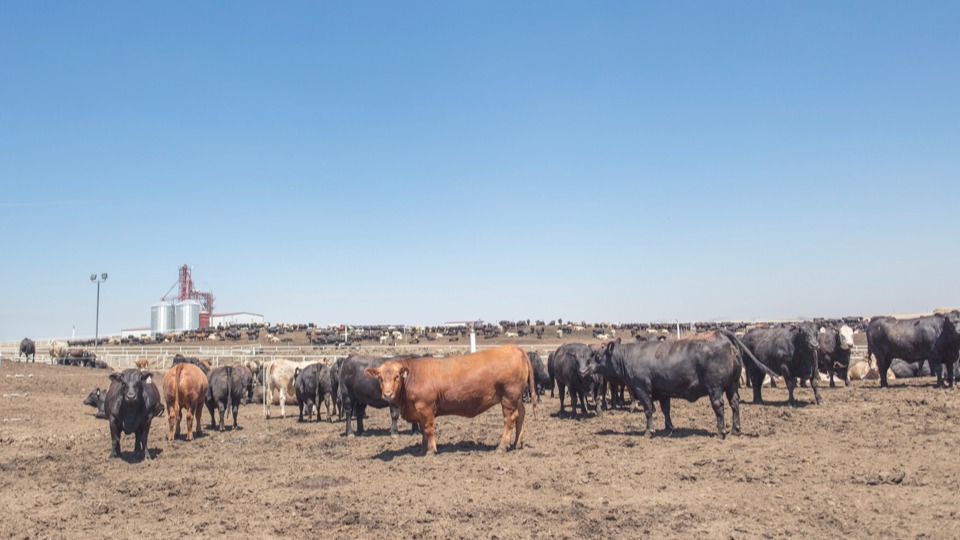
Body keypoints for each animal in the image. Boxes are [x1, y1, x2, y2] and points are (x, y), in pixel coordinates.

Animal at [364, 344, 536, 454]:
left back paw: (501, 447)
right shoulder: (419, 412)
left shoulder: (426, 408)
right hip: (516, 398)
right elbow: (422, 430)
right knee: (521, 414)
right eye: (380, 377)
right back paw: (517, 443)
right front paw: (422, 449)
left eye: (397, 376)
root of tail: (512, 347)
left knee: (510, 420)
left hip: (508, 397)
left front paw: (431, 450)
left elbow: (428, 429)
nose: (387, 394)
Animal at [584, 332, 772, 436]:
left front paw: (649, 431)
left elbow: (648, 410)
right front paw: (669, 428)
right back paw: (735, 429)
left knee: (719, 406)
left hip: (715, 387)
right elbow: (666, 410)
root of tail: (721, 336)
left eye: (598, 357)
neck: (630, 356)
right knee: (734, 404)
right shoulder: (663, 392)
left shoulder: (642, 388)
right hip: (732, 385)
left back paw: (721, 431)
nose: (586, 368)